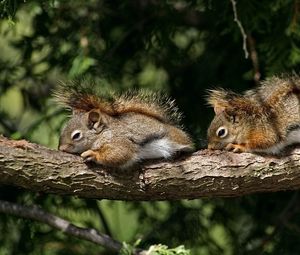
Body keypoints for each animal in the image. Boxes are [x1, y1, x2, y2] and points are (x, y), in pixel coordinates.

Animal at [54, 79, 193, 167]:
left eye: (76, 135)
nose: (61, 149)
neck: (103, 133)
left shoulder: (119, 139)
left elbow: (121, 153)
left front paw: (93, 154)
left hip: (175, 138)